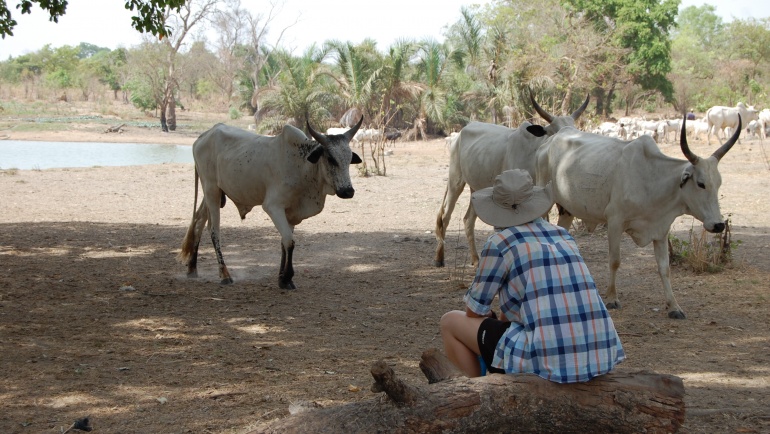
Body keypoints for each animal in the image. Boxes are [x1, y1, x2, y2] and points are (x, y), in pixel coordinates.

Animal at [178, 117, 362, 290]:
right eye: (331, 158)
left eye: (349, 159)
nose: (348, 191)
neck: (302, 165)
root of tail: (204, 135)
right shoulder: (273, 207)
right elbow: (289, 241)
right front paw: (286, 277)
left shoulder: (291, 212)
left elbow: (284, 242)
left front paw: (282, 278)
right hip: (211, 190)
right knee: (213, 230)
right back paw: (224, 275)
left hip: (212, 193)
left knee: (198, 222)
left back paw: (192, 269)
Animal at [432, 94, 588, 268]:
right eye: (553, 132)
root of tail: (459, 134)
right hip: (455, 180)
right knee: (445, 216)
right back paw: (439, 258)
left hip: (476, 188)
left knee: (468, 220)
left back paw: (475, 260)